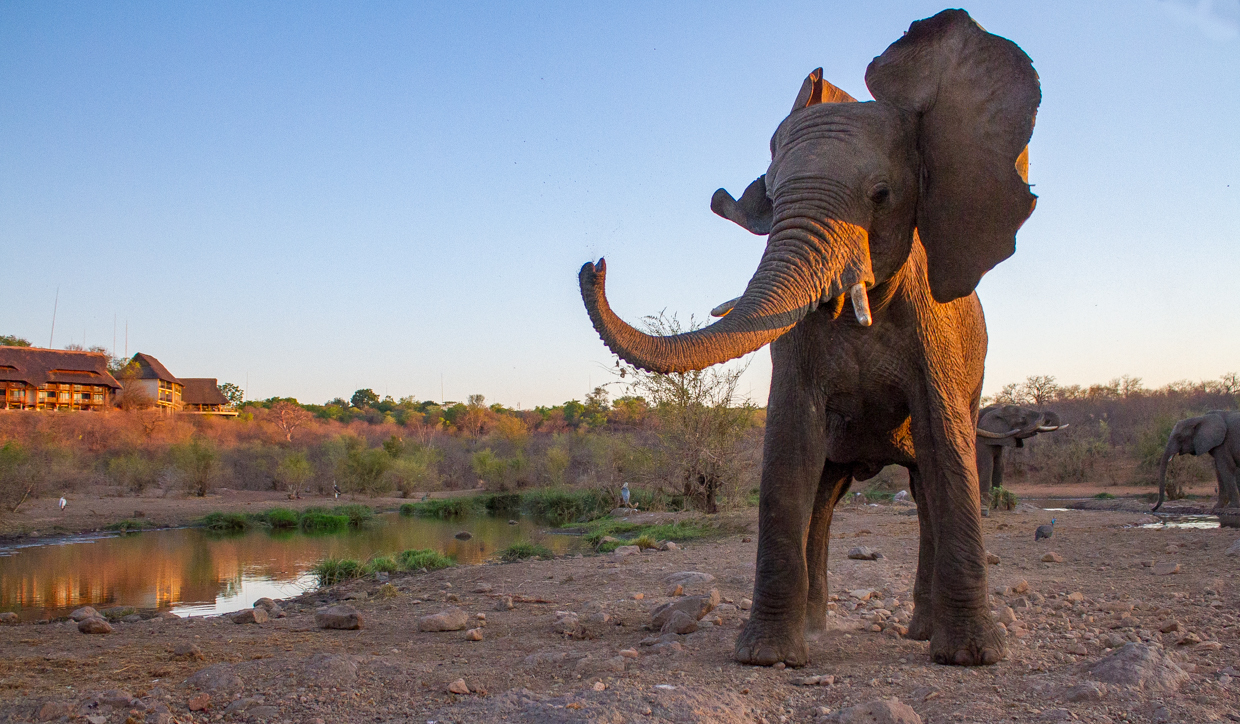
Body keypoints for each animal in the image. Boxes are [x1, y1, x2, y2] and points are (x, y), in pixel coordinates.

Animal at [578, 10, 1039, 667]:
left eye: (881, 195)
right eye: (771, 196)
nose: (594, 267)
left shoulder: (938, 336)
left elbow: (946, 451)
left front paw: (973, 658)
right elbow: (789, 446)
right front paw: (767, 659)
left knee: (923, 491)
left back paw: (920, 633)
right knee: (823, 496)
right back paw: (817, 629)